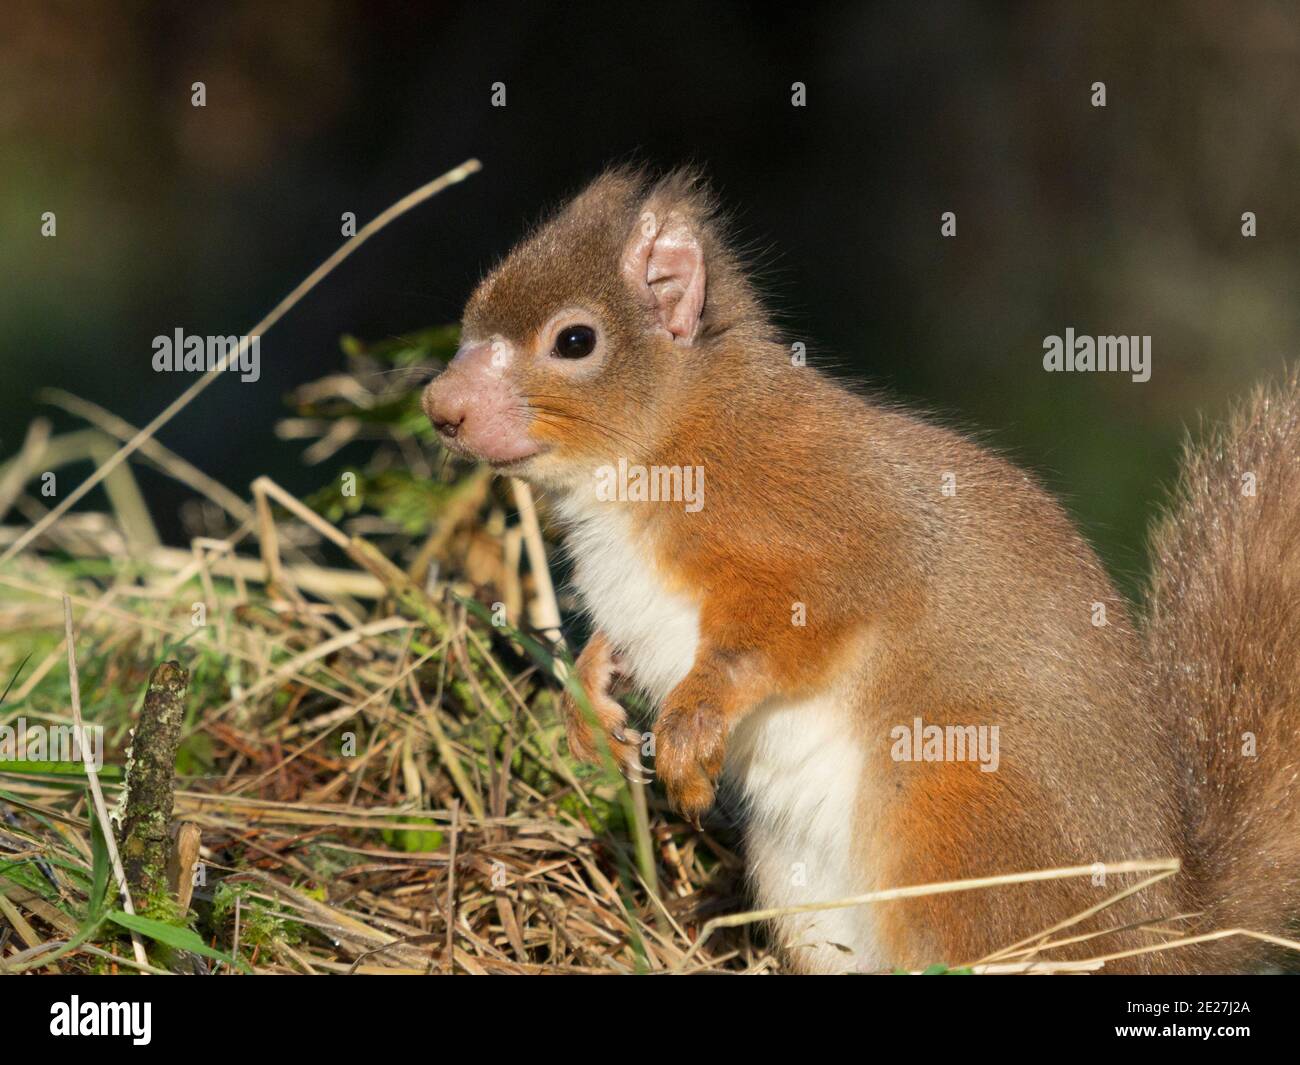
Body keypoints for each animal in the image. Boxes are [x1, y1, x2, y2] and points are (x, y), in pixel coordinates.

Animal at [418, 166, 1300, 972]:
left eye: (575, 340)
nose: (439, 408)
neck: (665, 447)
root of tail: (1167, 929)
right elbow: (616, 647)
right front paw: (587, 703)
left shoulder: (831, 540)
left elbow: (773, 642)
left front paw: (691, 727)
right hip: (807, 885)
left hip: (957, 817)